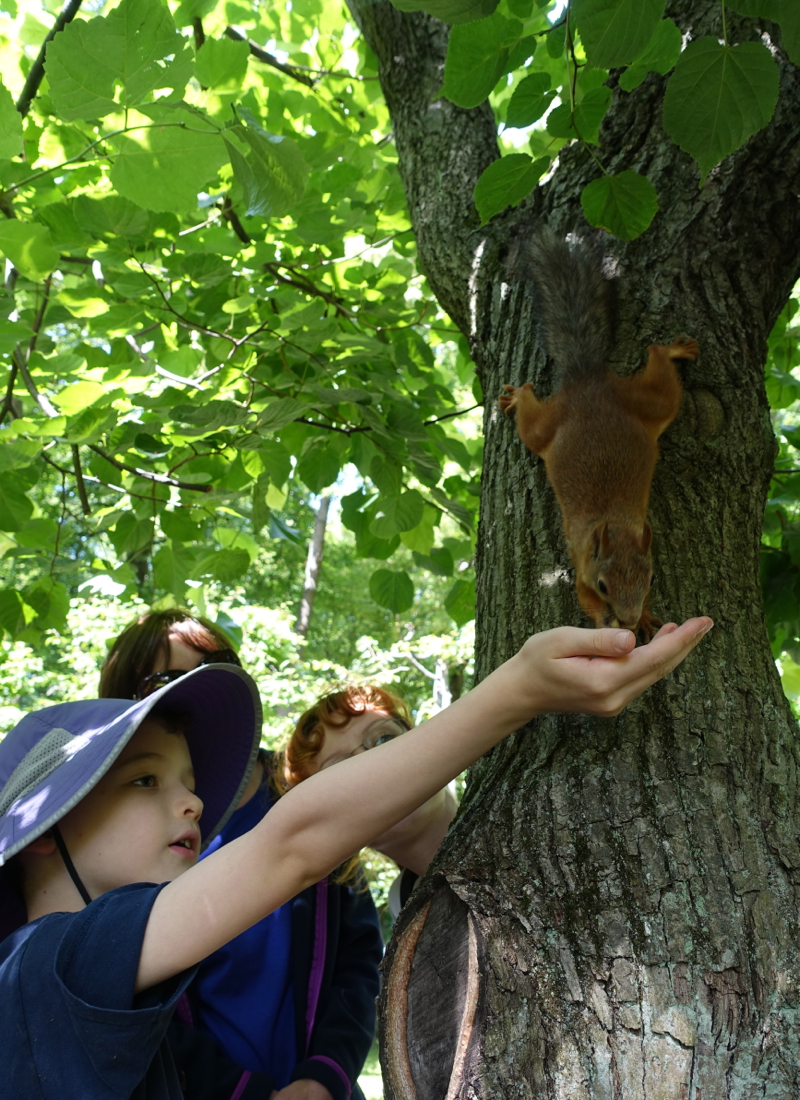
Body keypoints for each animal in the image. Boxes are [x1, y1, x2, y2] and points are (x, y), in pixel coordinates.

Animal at [497, 234, 699, 642]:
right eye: (604, 585)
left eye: (652, 580)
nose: (629, 617)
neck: (614, 524)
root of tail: (585, 379)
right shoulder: (581, 567)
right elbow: (584, 598)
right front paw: (608, 621)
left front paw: (645, 619)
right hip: (550, 427)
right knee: (531, 416)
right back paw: (519, 395)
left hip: (649, 406)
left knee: (656, 358)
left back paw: (674, 348)